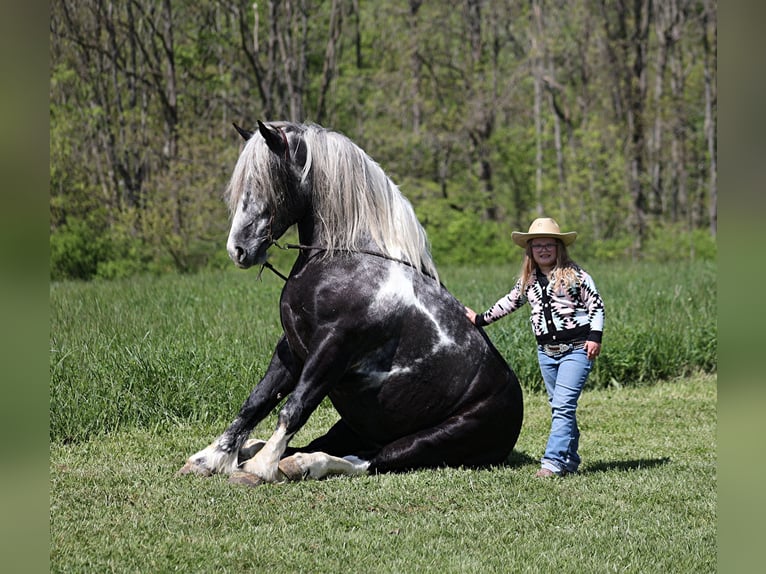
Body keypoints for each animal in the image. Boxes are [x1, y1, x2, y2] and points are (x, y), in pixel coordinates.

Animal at [179, 121, 523, 485]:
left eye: (268, 183)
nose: (238, 250)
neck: (346, 260)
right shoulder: (292, 348)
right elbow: (257, 401)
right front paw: (210, 459)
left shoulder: (332, 348)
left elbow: (295, 406)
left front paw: (260, 468)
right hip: (353, 425)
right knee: (332, 445)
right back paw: (266, 454)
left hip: (433, 439)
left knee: (370, 459)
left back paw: (295, 464)